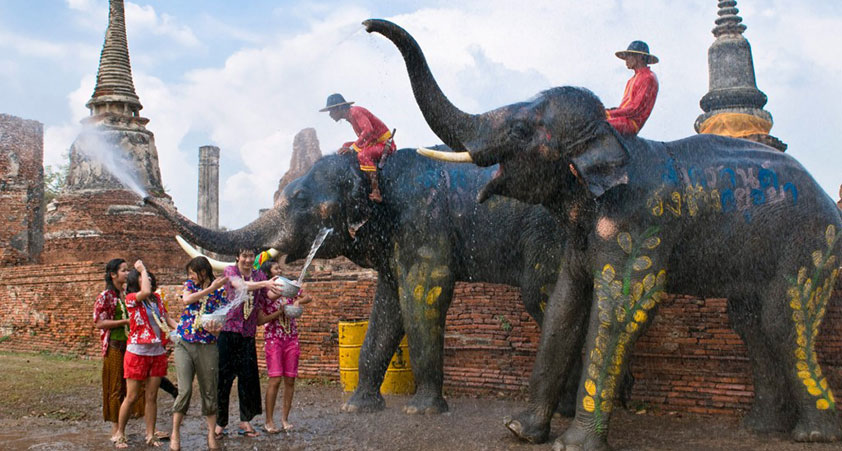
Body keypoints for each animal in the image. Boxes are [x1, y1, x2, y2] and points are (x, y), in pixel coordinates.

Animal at [147, 147, 584, 415]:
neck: (372, 169)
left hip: (550, 238)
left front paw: (422, 411)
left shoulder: (423, 223)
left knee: (544, 296)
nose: (150, 198)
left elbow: (424, 294)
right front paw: (357, 406)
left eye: (300, 198)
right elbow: (389, 305)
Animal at [365, 18, 842, 449]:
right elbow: (563, 306)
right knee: (749, 322)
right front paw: (519, 430)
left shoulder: (640, 222)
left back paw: (812, 435)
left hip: (812, 243)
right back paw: (761, 429)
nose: (368, 27)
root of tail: (827, 197)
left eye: (521, 130)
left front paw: (572, 444)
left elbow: (623, 307)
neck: (611, 145)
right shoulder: (576, 239)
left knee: (783, 317)